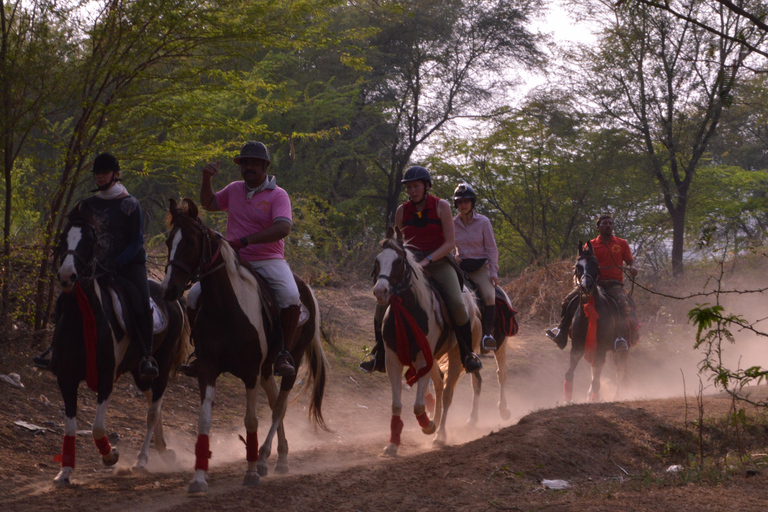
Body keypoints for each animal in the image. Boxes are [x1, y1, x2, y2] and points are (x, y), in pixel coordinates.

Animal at [48, 198, 190, 486]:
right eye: (63, 237)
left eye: (89, 242)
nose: (67, 276)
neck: (83, 318)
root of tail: (173, 298)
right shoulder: (66, 378)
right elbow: (70, 426)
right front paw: (64, 472)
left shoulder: (105, 378)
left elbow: (97, 427)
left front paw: (110, 455)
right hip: (139, 372)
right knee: (154, 403)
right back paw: (163, 448)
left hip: (159, 369)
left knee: (152, 410)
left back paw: (142, 460)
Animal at [160, 198, 328, 494]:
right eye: (170, 241)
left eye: (190, 242)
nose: (169, 289)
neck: (226, 308)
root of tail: (306, 288)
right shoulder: (208, 369)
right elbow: (204, 420)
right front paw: (199, 478)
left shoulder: (250, 372)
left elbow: (251, 420)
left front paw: (250, 473)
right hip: (266, 370)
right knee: (274, 401)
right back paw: (278, 456)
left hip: (291, 361)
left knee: (280, 406)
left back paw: (264, 459)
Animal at [370, 228, 480, 456]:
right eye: (377, 261)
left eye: (399, 261)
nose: (380, 291)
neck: (407, 311)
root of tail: (471, 302)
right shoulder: (393, 362)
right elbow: (396, 404)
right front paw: (392, 443)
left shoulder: (422, 361)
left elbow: (419, 405)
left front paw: (427, 425)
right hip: (435, 358)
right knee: (439, 385)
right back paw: (436, 423)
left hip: (456, 355)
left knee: (447, 393)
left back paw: (440, 435)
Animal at [564, 241, 632, 404]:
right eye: (578, 266)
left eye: (595, 264)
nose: (586, 286)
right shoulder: (577, 347)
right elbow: (570, 373)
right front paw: (567, 400)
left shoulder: (601, 348)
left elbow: (597, 380)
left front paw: (595, 399)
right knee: (595, 370)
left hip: (622, 349)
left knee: (619, 371)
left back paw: (616, 395)